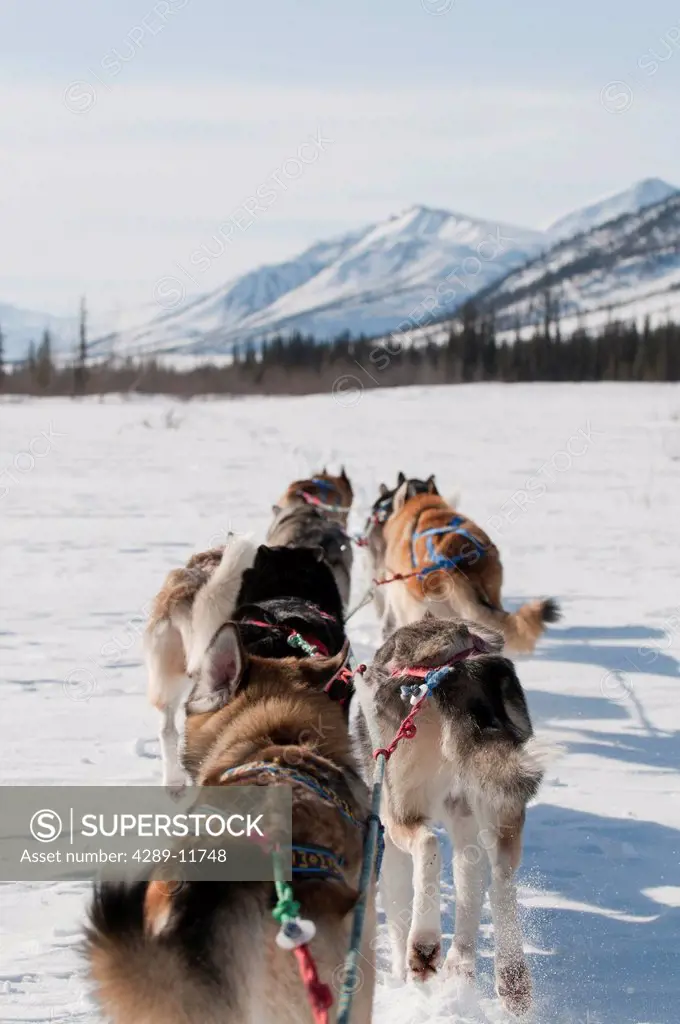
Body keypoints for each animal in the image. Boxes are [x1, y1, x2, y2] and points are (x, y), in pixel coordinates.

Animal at [352, 614, 544, 1015]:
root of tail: (453, 666)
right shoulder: (465, 823)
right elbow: (470, 889)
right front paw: (462, 973)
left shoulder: (387, 838)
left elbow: (398, 910)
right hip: (499, 806)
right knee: (500, 877)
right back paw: (510, 978)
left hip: (401, 809)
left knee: (427, 846)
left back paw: (423, 947)